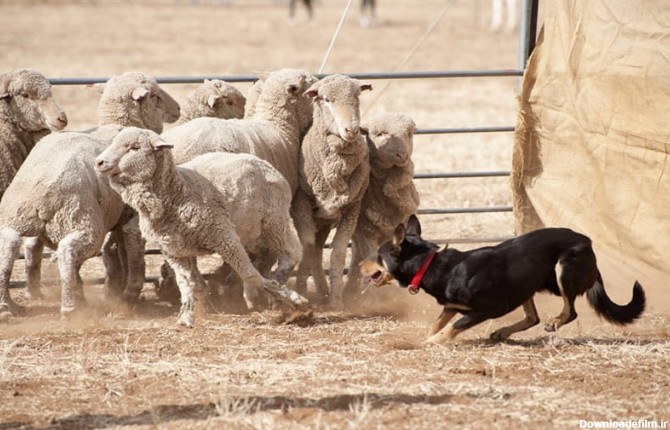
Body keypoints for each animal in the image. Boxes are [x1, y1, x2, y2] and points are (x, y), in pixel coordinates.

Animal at [94, 127, 308, 326]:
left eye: (134, 147)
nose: (99, 162)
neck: (177, 194)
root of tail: (262, 162)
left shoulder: (225, 238)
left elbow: (250, 275)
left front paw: (291, 297)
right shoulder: (175, 252)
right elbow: (188, 284)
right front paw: (187, 316)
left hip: (275, 221)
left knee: (292, 253)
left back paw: (279, 289)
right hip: (254, 230)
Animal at [292, 74, 372, 310]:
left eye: (357, 97)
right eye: (326, 100)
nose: (352, 130)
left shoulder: (352, 209)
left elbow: (337, 253)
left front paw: (336, 301)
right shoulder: (300, 204)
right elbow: (308, 247)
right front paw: (300, 291)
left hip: (325, 219)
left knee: (321, 251)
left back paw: (325, 290)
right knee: (315, 250)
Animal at [346, 111, 420, 298]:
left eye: (409, 133)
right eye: (379, 134)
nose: (402, 155)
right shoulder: (366, 233)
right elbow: (373, 259)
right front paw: (376, 298)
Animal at [360, 217, 648, 344]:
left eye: (378, 255)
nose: (361, 264)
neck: (431, 264)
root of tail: (588, 243)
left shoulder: (486, 309)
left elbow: (452, 326)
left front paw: (432, 343)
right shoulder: (451, 306)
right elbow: (437, 323)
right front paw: (427, 337)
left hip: (563, 268)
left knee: (569, 311)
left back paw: (555, 322)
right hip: (527, 283)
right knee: (533, 317)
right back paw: (502, 332)